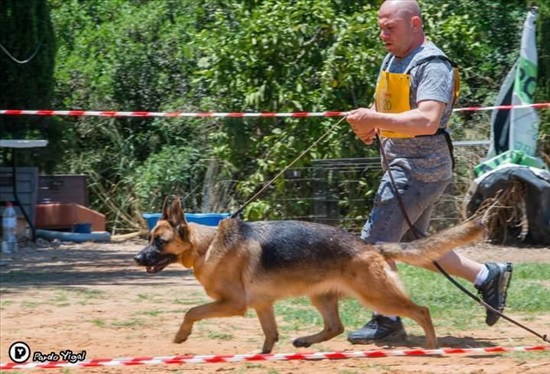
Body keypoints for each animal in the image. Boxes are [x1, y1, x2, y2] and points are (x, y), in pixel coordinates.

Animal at [135, 197, 484, 352]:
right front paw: (263, 356)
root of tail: (369, 245)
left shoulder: (233, 304)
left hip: (378, 296)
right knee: (334, 327)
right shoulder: (262, 305)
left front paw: (181, 335)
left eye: (159, 241)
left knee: (421, 311)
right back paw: (305, 340)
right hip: (321, 297)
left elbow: (191, 311)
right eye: (149, 238)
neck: (207, 245)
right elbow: (270, 334)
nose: (138, 258)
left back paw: (432, 345)